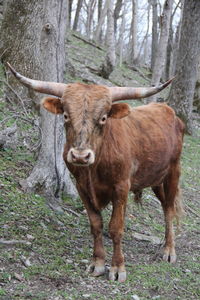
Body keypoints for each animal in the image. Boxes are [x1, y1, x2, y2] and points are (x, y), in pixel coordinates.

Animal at [6, 62, 184, 282]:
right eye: (66, 115)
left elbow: (116, 227)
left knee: (169, 209)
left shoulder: (121, 187)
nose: (80, 156)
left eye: (103, 118)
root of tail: (167, 110)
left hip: (173, 172)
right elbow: (96, 224)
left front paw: (118, 267)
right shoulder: (82, 187)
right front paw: (97, 263)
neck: (95, 168)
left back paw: (169, 250)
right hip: (156, 178)